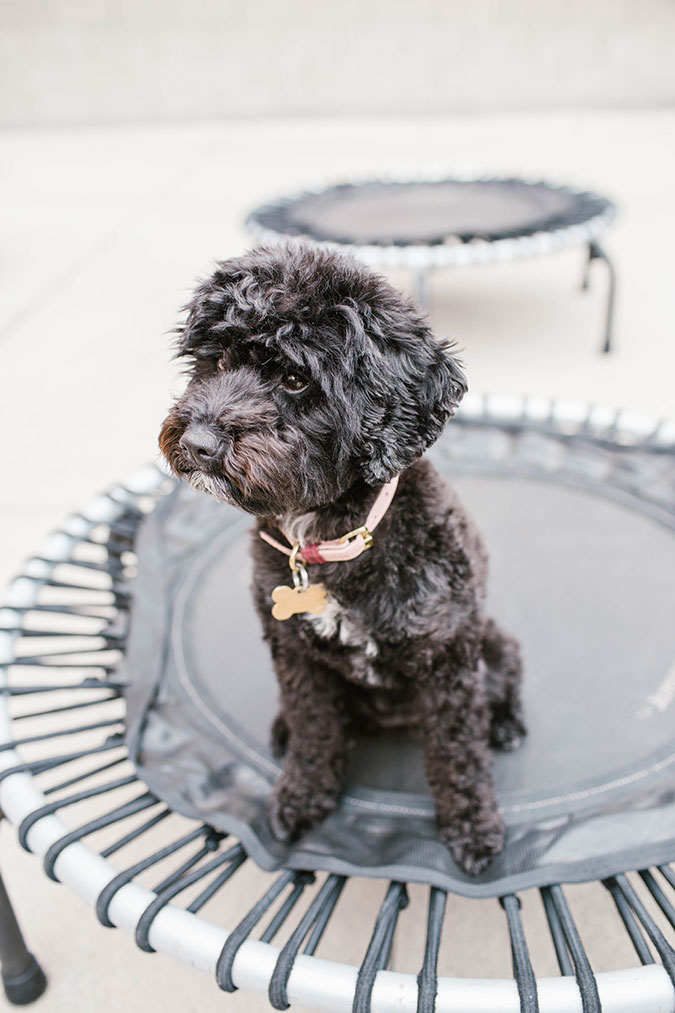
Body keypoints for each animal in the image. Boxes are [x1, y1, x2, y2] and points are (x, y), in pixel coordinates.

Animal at [160, 241, 522, 875]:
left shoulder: (450, 661)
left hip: (491, 641)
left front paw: (473, 828)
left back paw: (504, 725)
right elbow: (314, 729)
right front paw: (302, 797)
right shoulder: (294, 654)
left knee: (504, 680)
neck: (328, 538)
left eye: (295, 378)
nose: (199, 444)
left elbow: (458, 754)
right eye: (216, 361)